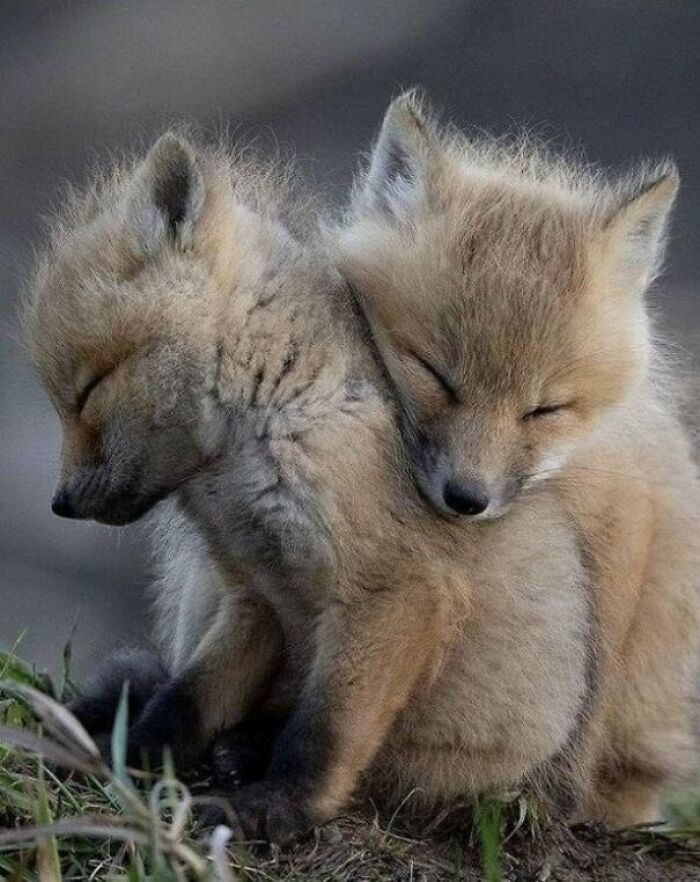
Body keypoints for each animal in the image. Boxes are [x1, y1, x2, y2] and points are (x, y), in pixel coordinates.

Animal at [23, 126, 658, 843]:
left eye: (86, 391)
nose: (61, 503)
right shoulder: (256, 597)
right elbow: (185, 700)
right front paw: (124, 759)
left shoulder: (394, 592)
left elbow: (322, 734)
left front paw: (280, 806)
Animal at [333, 91, 700, 826]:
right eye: (435, 375)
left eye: (546, 410)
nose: (466, 498)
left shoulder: (625, 524)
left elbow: (591, 695)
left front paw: (559, 803)